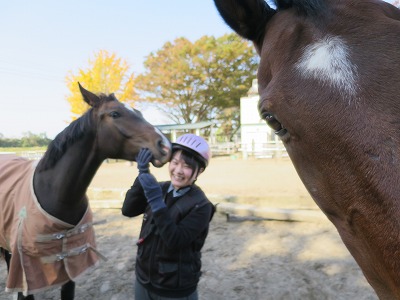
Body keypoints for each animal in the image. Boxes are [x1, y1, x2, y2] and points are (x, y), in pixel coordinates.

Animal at [0, 83, 170, 298]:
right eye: (115, 113)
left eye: (138, 112)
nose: (165, 146)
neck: (53, 193)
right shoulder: (25, 273)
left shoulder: (70, 266)